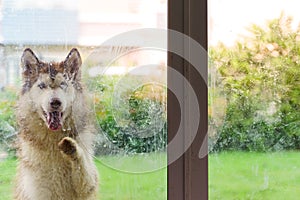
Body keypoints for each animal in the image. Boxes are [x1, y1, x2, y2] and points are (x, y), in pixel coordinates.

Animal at [14, 48, 98, 200]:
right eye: (42, 86)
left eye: (63, 84)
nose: (55, 102)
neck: (53, 141)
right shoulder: (40, 190)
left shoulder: (88, 185)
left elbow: (83, 170)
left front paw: (71, 148)